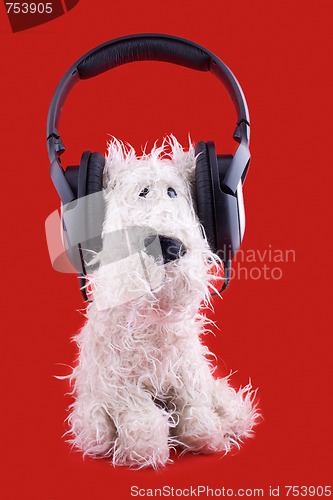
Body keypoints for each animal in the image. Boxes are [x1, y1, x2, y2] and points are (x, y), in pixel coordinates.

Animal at [65, 135, 256, 466]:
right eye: (142, 192)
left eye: (172, 192)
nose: (168, 245)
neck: (152, 323)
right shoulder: (118, 381)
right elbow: (139, 413)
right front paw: (145, 446)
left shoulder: (185, 370)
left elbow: (194, 405)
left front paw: (206, 432)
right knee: (97, 430)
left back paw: (231, 413)